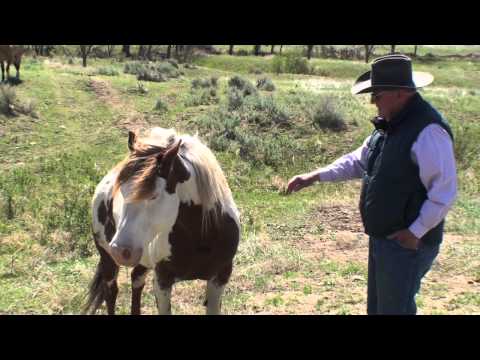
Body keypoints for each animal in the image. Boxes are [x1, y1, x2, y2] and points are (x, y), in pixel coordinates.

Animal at [85, 128, 242, 314]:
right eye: (121, 191)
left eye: (154, 195)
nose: (119, 250)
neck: (202, 238)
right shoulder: (162, 281)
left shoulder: (221, 276)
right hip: (107, 258)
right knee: (111, 291)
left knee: (136, 280)